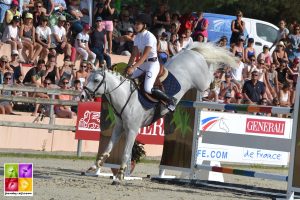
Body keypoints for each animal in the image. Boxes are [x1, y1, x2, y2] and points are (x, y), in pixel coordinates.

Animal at [81, 42, 238, 184]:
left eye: (96, 80)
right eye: (87, 78)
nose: (82, 96)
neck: (126, 96)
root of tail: (190, 51)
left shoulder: (132, 130)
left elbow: (125, 153)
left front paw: (119, 176)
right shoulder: (119, 128)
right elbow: (107, 148)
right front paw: (94, 166)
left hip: (201, 82)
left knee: (210, 72)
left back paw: (217, 78)